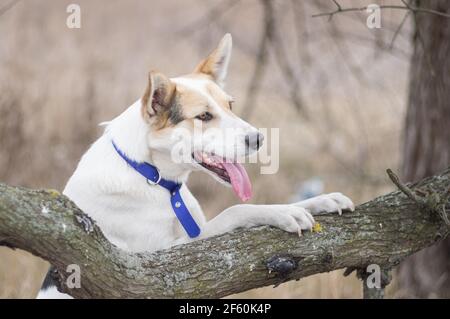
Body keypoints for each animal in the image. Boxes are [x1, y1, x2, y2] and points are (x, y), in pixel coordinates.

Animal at [37, 33, 356, 298]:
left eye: (230, 105)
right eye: (203, 116)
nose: (259, 139)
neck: (153, 177)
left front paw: (322, 200)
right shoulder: (158, 261)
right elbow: (235, 210)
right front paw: (285, 213)